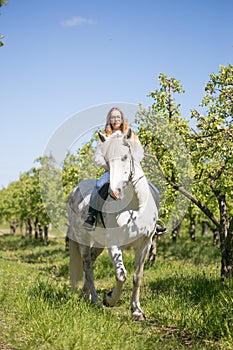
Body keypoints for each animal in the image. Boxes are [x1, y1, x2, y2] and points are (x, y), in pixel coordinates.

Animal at [66, 129, 159, 320]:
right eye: (107, 160)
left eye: (125, 157)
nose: (114, 193)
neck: (133, 208)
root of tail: (74, 190)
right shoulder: (115, 244)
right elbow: (121, 274)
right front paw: (110, 299)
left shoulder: (145, 244)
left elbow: (137, 276)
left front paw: (137, 311)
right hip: (83, 238)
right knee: (87, 264)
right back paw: (95, 299)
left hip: (99, 243)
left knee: (91, 261)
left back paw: (86, 294)